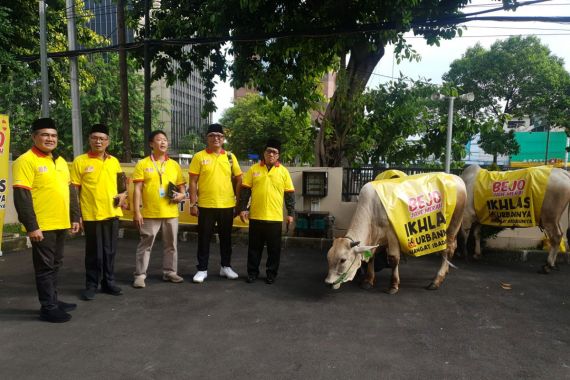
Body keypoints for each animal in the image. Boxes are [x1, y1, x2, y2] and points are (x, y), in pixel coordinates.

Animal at [324, 173, 466, 294]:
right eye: (328, 257)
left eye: (343, 260)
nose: (328, 283)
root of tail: (456, 178)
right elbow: (372, 256)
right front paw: (368, 281)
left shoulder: (392, 235)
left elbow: (393, 259)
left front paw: (393, 285)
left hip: (453, 224)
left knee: (448, 249)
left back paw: (437, 280)